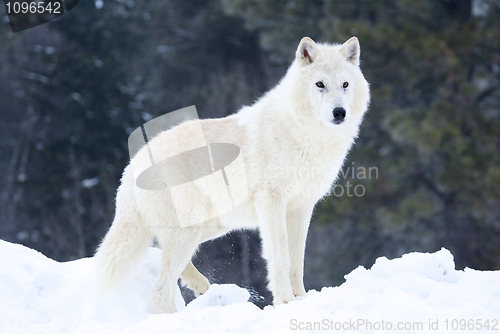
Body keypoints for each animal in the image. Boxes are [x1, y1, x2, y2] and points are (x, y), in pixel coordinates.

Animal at [95, 36, 370, 314]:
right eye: (320, 84)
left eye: (345, 84)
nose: (339, 112)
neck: (305, 135)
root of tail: (133, 163)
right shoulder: (272, 203)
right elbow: (280, 257)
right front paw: (285, 301)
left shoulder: (302, 208)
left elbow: (297, 262)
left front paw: (301, 299)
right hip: (189, 232)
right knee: (160, 291)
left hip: (211, 228)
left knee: (163, 255)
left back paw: (199, 284)